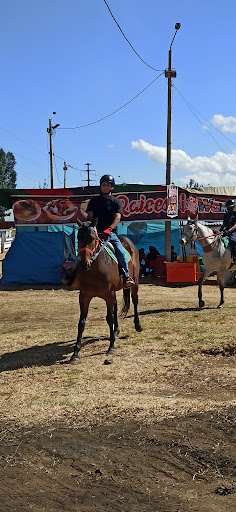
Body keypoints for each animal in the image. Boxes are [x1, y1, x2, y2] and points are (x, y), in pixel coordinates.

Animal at [68, 220, 142, 364]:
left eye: (93, 238)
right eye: (78, 238)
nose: (84, 263)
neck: (94, 270)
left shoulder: (108, 295)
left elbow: (109, 318)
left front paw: (111, 346)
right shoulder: (84, 296)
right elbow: (81, 322)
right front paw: (75, 352)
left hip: (134, 282)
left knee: (135, 301)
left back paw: (137, 325)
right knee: (116, 307)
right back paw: (116, 330)